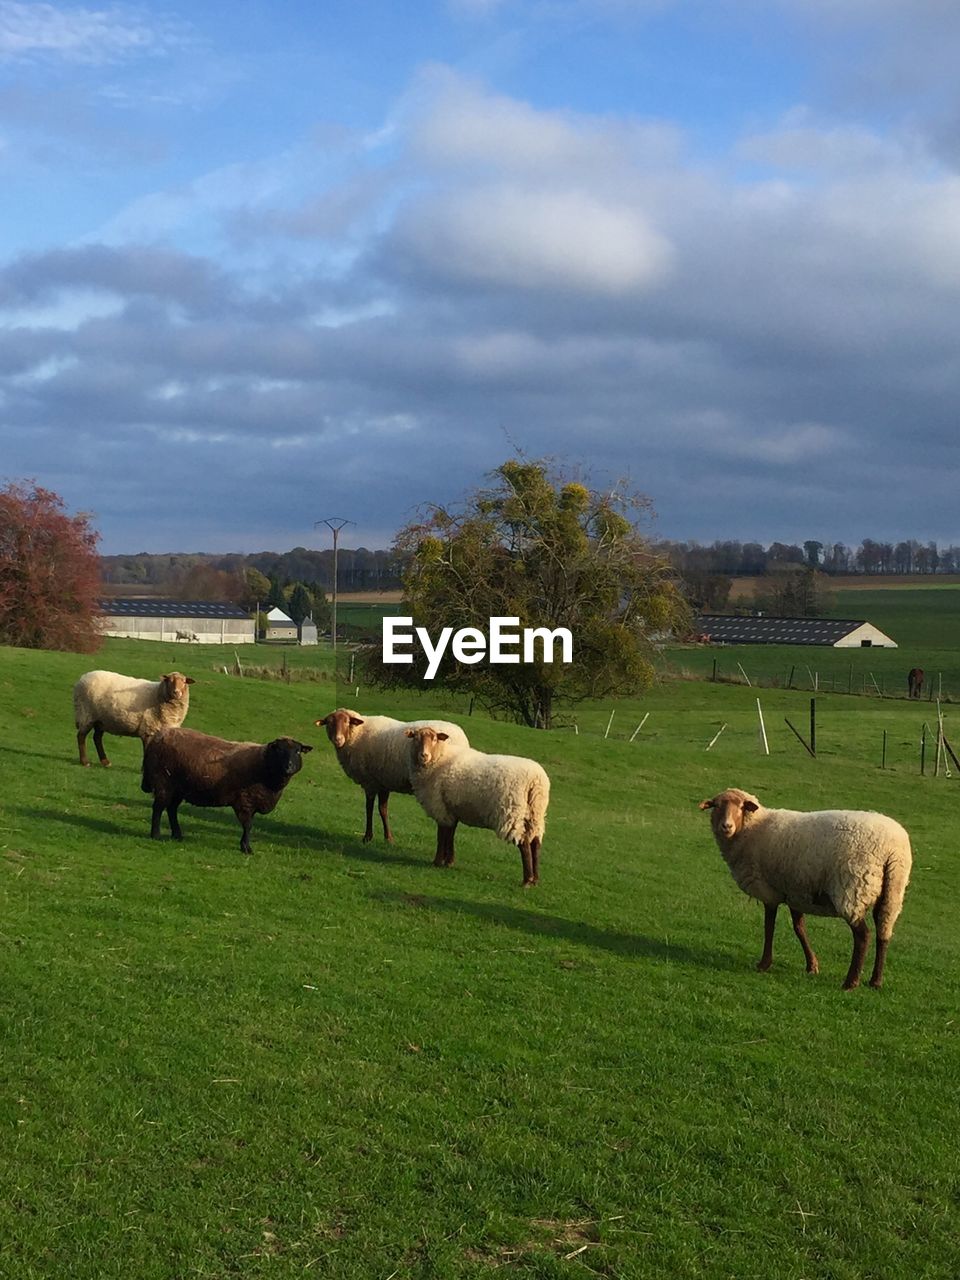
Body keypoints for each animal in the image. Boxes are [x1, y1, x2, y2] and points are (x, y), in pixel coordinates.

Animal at [140, 727, 313, 855]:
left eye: (298, 751)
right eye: (279, 751)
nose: (288, 767)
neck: (264, 765)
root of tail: (157, 736)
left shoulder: (253, 801)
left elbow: (249, 825)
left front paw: (244, 846)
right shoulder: (245, 800)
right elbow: (248, 825)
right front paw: (246, 848)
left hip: (178, 788)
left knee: (171, 809)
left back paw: (177, 835)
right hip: (163, 782)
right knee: (158, 808)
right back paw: (156, 835)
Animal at [316, 706, 471, 844]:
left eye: (347, 722)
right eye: (329, 723)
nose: (338, 740)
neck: (358, 734)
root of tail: (463, 737)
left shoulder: (370, 782)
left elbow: (369, 808)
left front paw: (367, 837)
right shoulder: (383, 781)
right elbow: (383, 810)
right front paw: (388, 838)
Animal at [407, 727, 552, 885]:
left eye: (434, 739)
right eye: (416, 738)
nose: (424, 755)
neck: (440, 757)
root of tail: (535, 780)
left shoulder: (440, 807)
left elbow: (442, 835)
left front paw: (438, 861)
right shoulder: (452, 810)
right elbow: (450, 834)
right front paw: (449, 861)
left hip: (512, 812)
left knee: (524, 843)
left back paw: (527, 880)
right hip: (535, 812)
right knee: (535, 843)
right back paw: (535, 879)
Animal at [701, 788, 911, 988]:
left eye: (741, 806)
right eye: (716, 806)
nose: (726, 826)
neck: (752, 829)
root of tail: (893, 849)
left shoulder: (769, 891)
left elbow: (769, 926)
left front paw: (764, 964)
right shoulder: (796, 891)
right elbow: (799, 928)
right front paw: (812, 965)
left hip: (853, 889)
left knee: (863, 936)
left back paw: (851, 982)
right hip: (892, 891)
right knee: (883, 932)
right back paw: (875, 981)